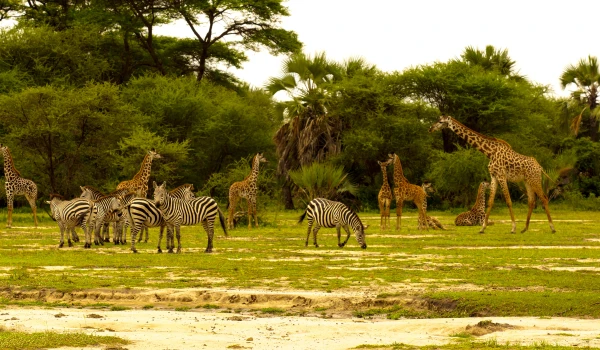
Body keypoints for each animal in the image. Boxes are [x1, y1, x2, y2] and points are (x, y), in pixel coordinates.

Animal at [428, 116, 556, 234]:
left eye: (440, 121)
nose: (430, 128)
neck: (489, 152)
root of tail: (540, 167)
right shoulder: (493, 176)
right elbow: (490, 202)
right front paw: (482, 228)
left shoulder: (501, 175)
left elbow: (508, 201)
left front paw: (513, 228)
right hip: (527, 181)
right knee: (531, 201)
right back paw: (525, 229)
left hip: (535, 179)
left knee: (544, 198)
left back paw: (552, 228)